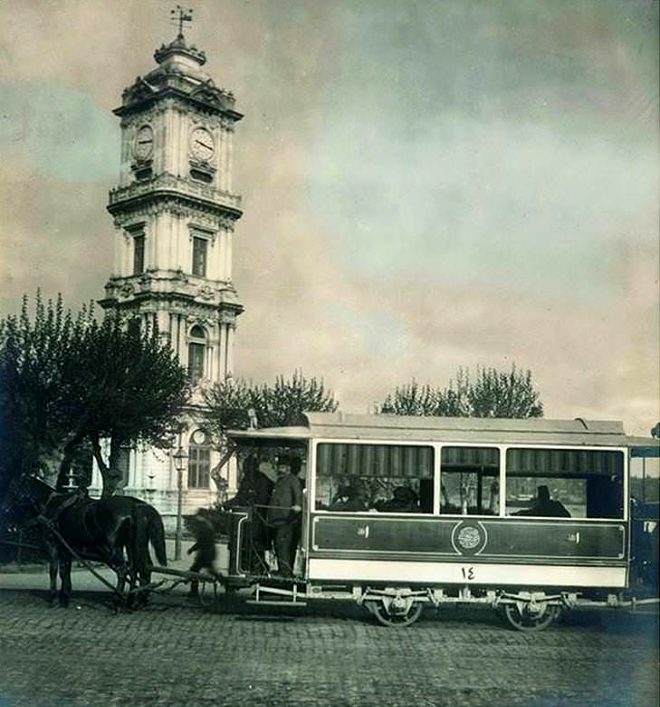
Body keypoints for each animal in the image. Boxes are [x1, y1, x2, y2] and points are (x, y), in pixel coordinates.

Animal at [8, 476, 166, 608]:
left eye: (13, 489)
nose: (5, 509)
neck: (52, 504)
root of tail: (135, 506)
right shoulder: (67, 548)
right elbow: (65, 571)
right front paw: (65, 597)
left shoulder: (52, 544)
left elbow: (54, 570)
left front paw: (54, 598)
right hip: (132, 545)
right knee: (138, 568)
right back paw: (134, 600)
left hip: (114, 547)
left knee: (124, 570)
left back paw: (118, 602)